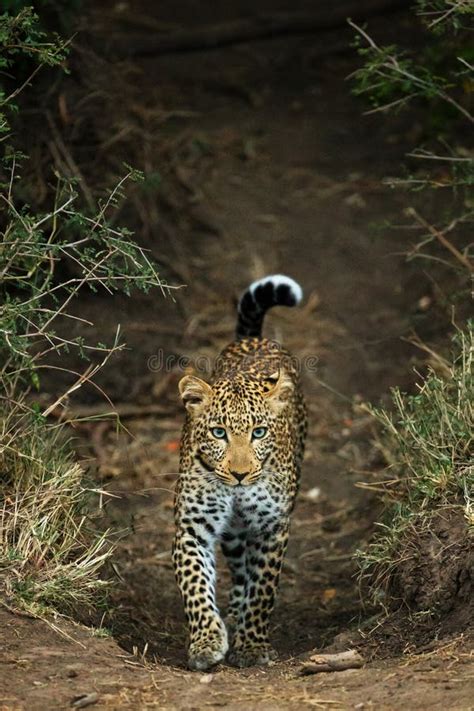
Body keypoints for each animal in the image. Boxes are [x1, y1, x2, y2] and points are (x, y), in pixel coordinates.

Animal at [174, 274, 308, 672]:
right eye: (219, 433)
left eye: (259, 432)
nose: (239, 474)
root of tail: (254, 339)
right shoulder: (193, 526)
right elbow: (195, 585)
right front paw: (207, 642)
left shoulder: (271, 526)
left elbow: (262, 588)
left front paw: (251, 645)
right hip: (232, 533)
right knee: (236, 568)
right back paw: (232, 613)